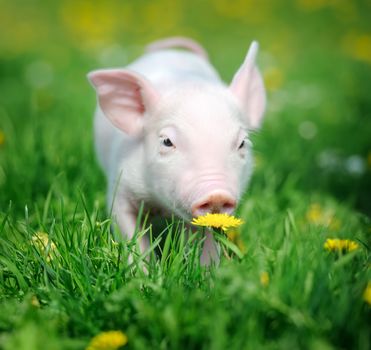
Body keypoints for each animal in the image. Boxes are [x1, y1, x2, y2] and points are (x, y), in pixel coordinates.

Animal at [88, 37, 266, 264]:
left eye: (242, 143)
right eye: (167, 141)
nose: (216, 194)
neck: (162, 207)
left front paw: (206, 270)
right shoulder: (120, 187)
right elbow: (131, 235)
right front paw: (144, 270)